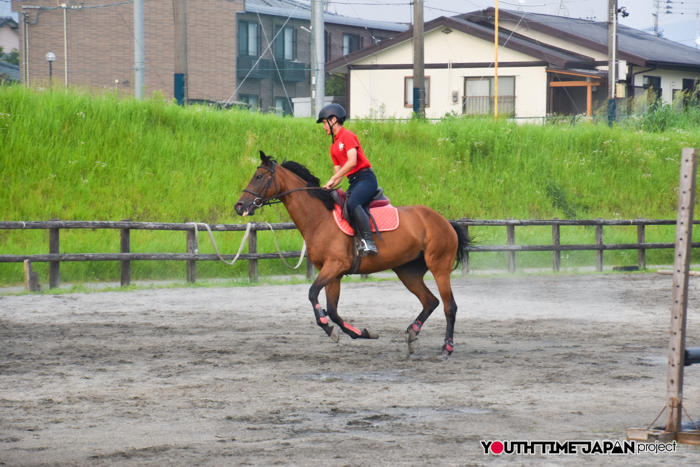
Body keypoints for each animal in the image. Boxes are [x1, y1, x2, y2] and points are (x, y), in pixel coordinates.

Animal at [234, 151, 470, 357]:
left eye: (258, 176)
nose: (239, 206)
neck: (319, 217)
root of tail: (444, 221)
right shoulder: (333, 274)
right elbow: (332, 310)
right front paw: (360, 333)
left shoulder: (335, 266)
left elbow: (313, 294)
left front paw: (327, 326)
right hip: (408, 272)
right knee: (430, 301)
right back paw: (413, 333)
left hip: (439, 268)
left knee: (449, 307)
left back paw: (447, 347)